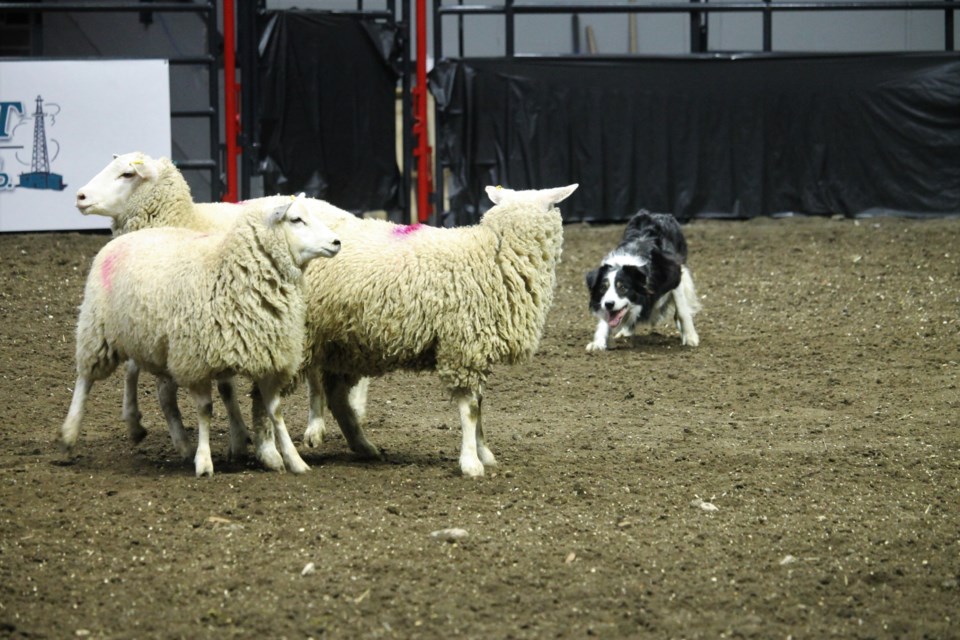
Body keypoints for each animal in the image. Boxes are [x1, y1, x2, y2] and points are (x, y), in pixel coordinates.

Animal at [300, 182, 576, 478]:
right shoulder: (463, 346)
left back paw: (362, 445)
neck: (493, 253)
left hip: (344, 343)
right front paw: (471, 462)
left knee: (336, 395)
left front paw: (484, 452)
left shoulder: (476, 349)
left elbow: (480, 405)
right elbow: (471, 409)